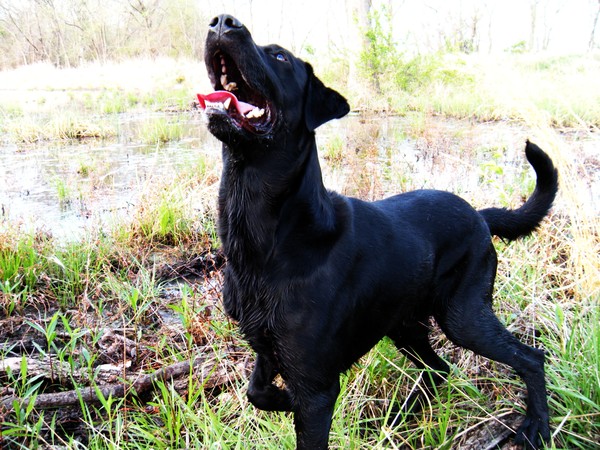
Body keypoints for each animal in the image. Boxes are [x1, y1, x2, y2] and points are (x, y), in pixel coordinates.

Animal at [197, 14, 556, 450]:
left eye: (280, 56)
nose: (222, 22)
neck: (275, 240)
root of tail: (480, 215)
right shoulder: (266, 346)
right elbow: (256, 392)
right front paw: (279, 400)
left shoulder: (317, 389)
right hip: (406, 326)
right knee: (439, 369)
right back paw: (401, 416)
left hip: (463, 316)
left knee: (530, 358)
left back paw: (536, 424)